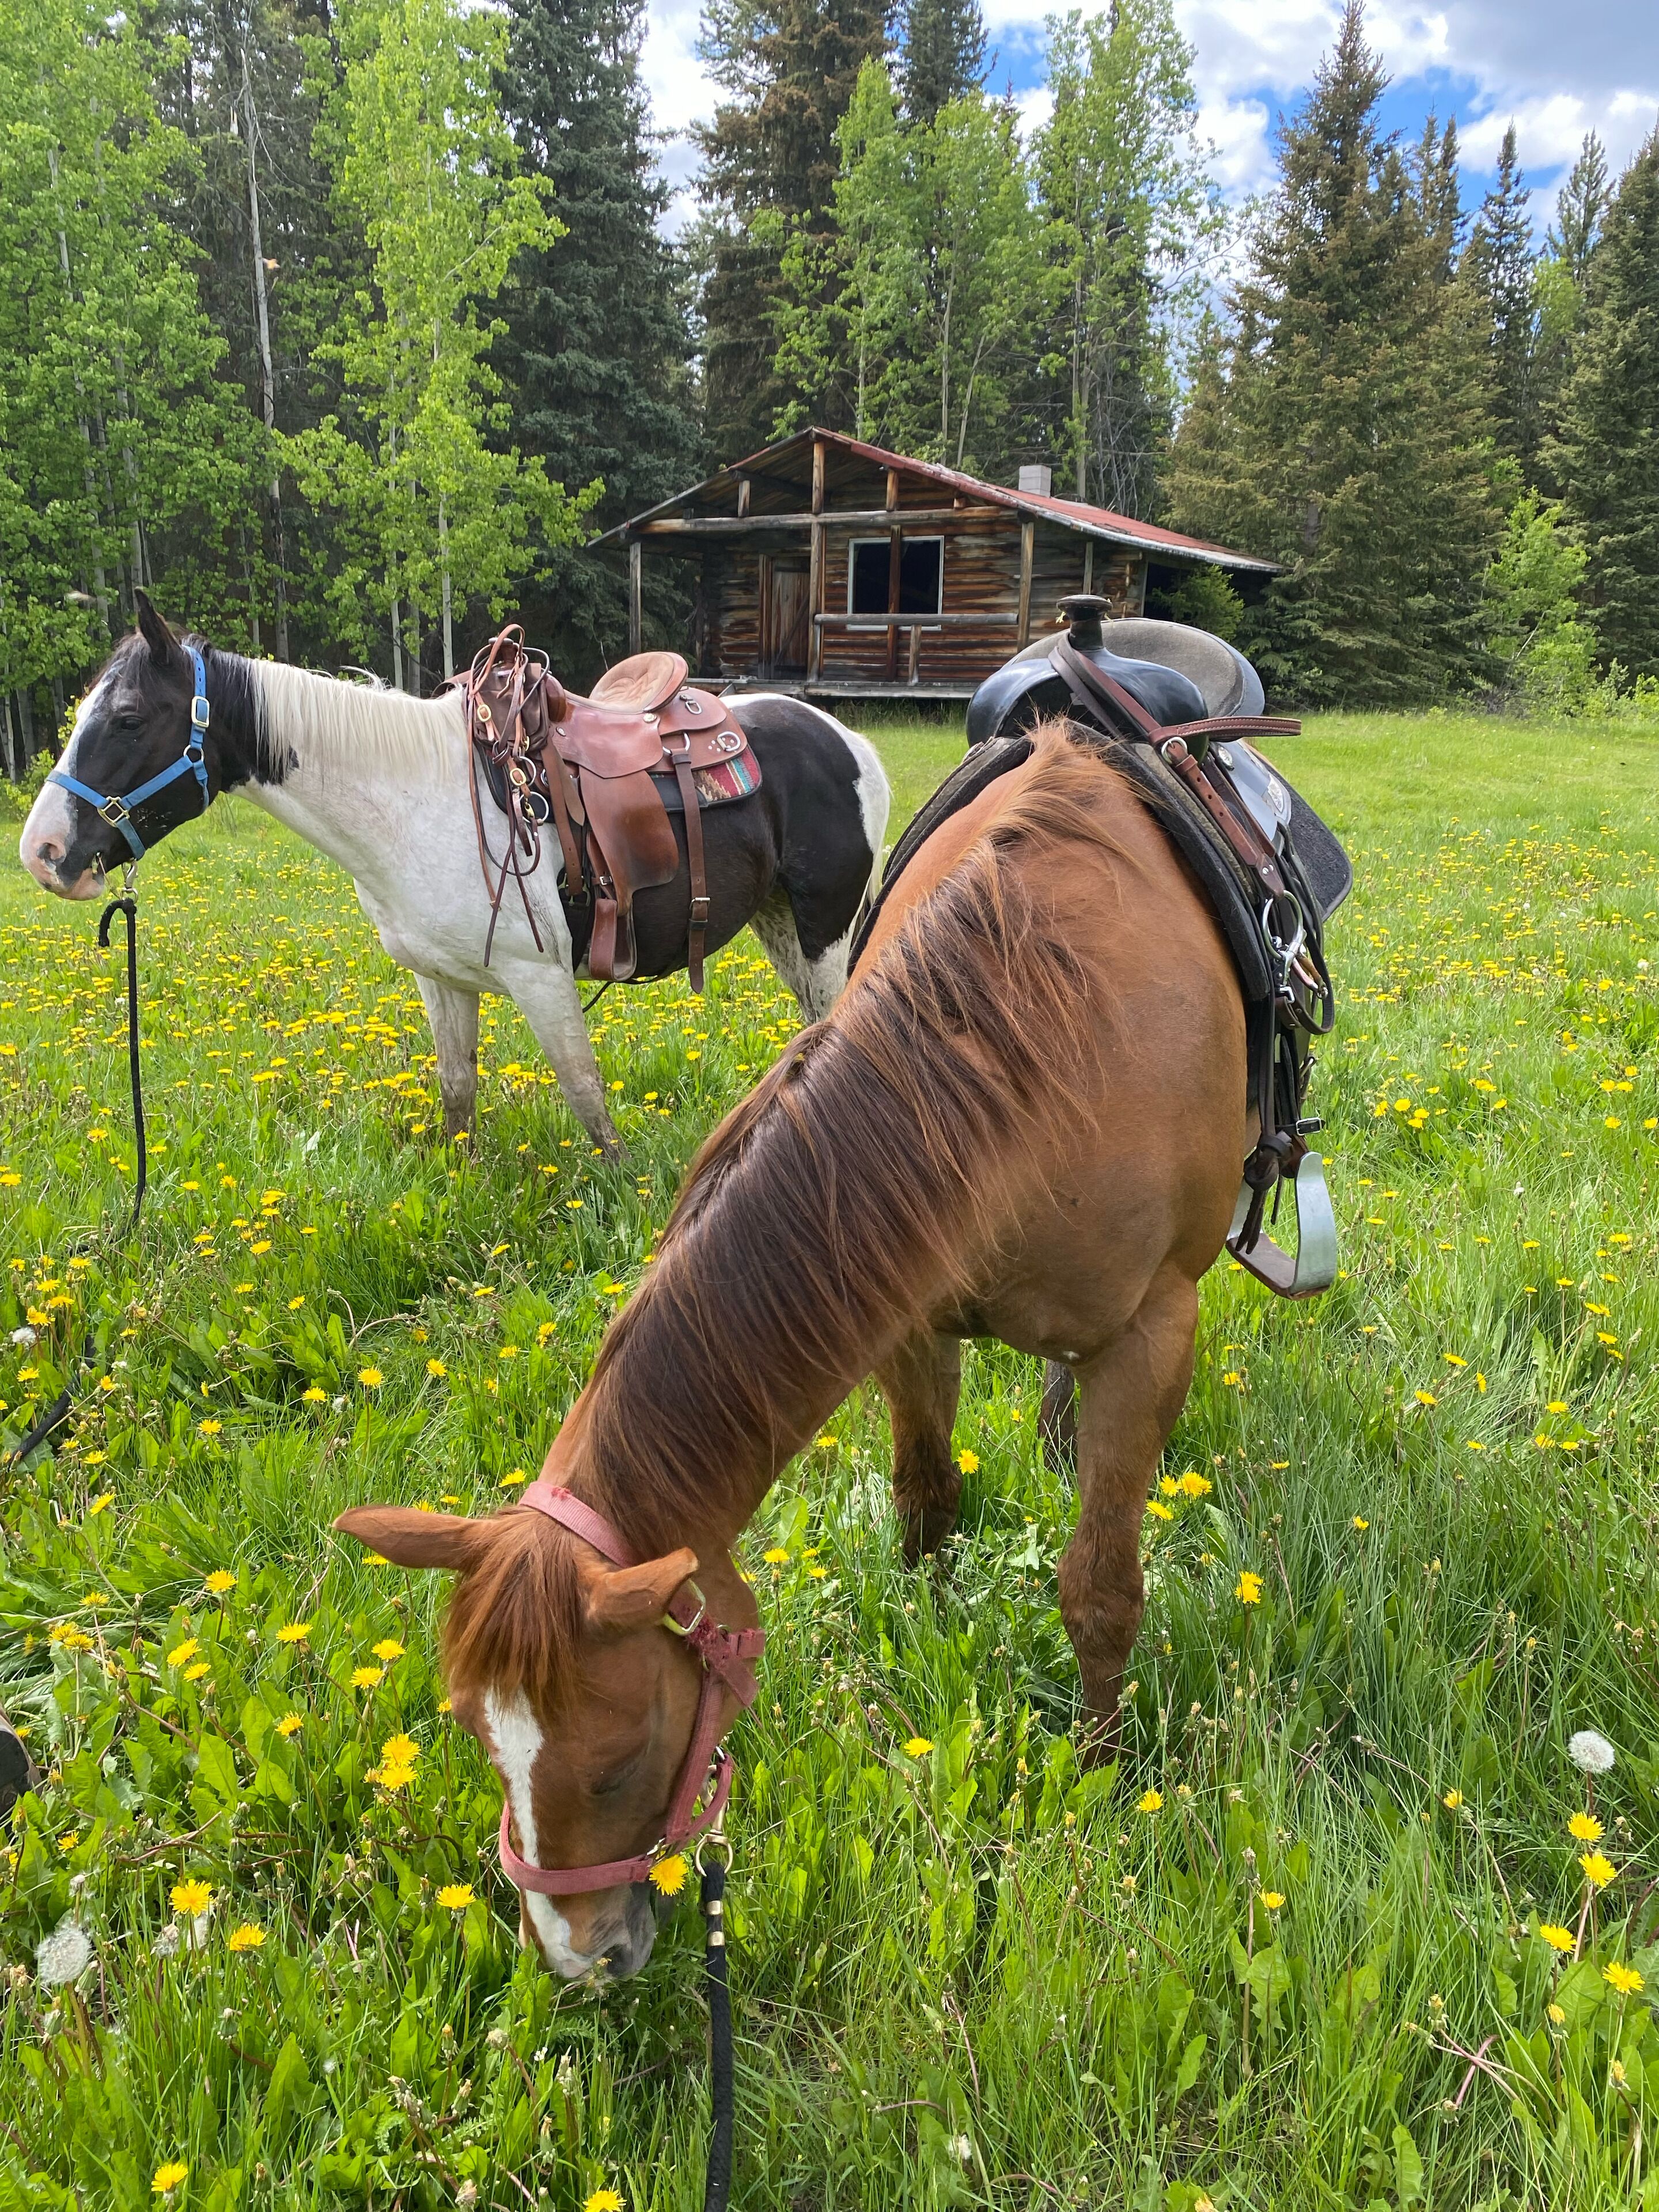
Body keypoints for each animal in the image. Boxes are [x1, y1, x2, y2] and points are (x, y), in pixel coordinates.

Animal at [18, 593, 890, 1157]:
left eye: (128, 718)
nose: (44, 851)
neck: (413, 799)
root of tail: (848, 739)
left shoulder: (542, 979)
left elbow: (588, 1099)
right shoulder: (439, 979)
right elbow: (459, 1092)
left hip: (823, 930)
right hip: (781, 925)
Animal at [336, 727, 1247, 1979]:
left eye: (621, 1759)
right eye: (475, 1734)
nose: (577, 1959)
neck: (1039, 1041)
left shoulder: (1155, 1332)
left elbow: (1101, 1589)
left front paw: (1107, 1783)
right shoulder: (910, 1311)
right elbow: (926, 1506)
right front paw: (925, 1645)